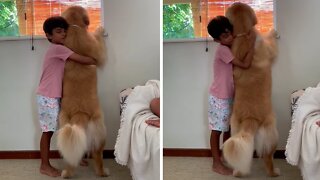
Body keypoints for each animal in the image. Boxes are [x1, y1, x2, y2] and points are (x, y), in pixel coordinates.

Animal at [222, 2, 280, 177]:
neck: (243, 35)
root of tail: (251, 118)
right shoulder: (268, 48)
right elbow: (271, 43)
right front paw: (273, 32)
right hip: (272, 132)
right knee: (268, 157)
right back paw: (274, 172)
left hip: (234, 129)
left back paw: (237, 173)